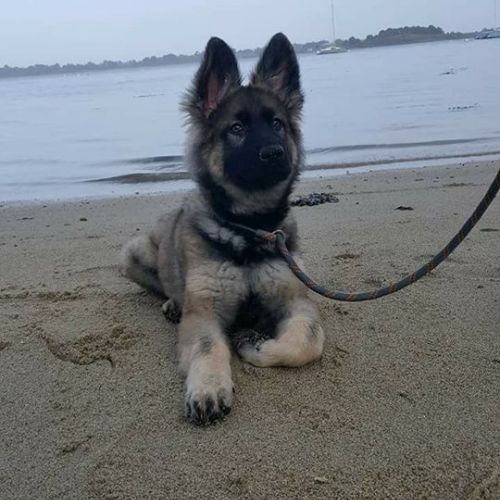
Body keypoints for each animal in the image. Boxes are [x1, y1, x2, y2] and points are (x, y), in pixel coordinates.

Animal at [121, 33, 324, 425]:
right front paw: (208, 388)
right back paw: (172, 303)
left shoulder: (294, 299)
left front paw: (254, 344)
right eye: (237, 129)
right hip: (132, 252)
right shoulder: (204, 312)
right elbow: (207, 346)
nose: (275, 154)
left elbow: (308, 340)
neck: (250, 230)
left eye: (277, 124)